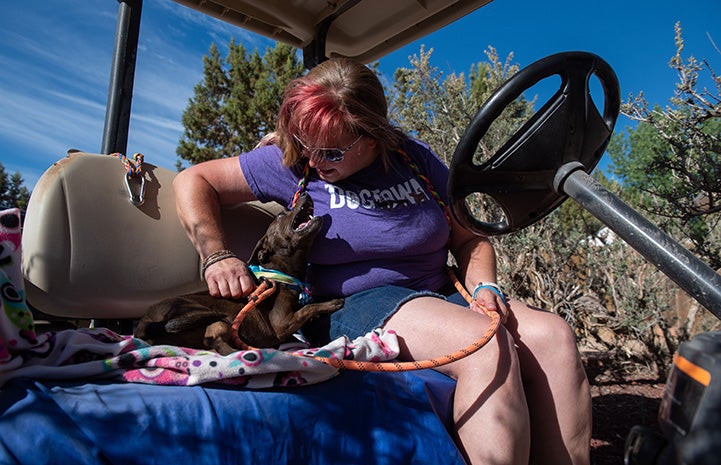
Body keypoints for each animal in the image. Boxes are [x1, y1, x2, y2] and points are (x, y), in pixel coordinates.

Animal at [134, 194, 344, 354]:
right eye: (282, 213)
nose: (305, 194)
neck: (280, 273)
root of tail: (144, 323)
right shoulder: (281, 323)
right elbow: (307, 309)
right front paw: (331, 303)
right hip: (210, 316)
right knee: (216, 341)